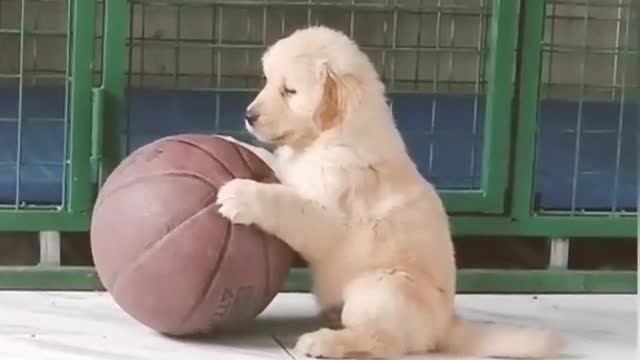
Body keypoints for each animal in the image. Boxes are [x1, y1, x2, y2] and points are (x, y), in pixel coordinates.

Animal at [216, 26, 564, 360]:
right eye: (268, 81)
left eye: (289, 91)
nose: (249, 116)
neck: (329, 136)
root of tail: (445, 326)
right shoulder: (294, 169)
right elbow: (273, 163)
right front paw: (230, 142)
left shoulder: (329, 215)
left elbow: (286, 203)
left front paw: (239, 195)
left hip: (379, 287)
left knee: (383, 341)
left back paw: (324, 341)